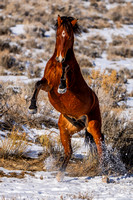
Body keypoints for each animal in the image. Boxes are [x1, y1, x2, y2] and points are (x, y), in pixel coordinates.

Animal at [28, 16, 104, 181]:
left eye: (69, 36)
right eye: (58, 34)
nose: (60, 58)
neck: (56, 65)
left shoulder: (67, 84)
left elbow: (65, 72)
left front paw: (62, 85)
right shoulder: (48, 85)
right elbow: (37, 84)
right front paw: (32, 108)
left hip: (93, 126)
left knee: (101, 145)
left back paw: (103, 170)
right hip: (65, 130)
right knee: (69, 152)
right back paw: (59, 176)